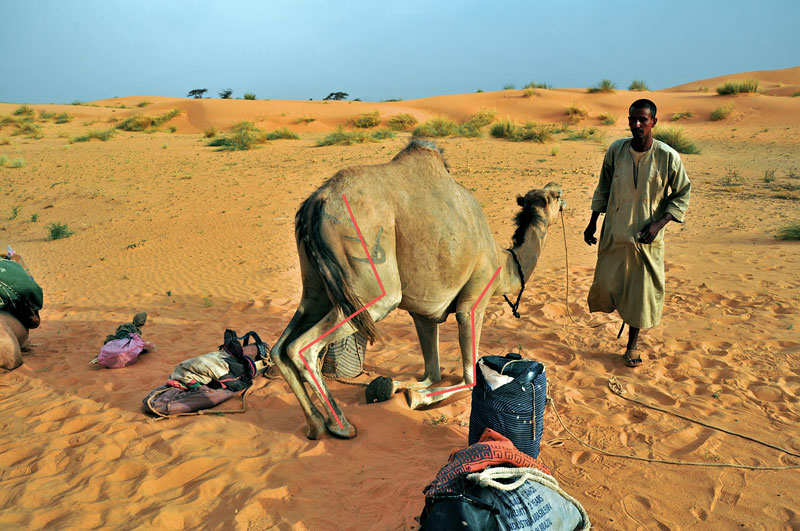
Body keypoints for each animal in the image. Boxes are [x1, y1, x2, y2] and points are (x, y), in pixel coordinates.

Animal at [272, 138, 564, 440]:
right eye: (555, 195)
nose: (561, 192)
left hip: (318, 289)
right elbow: (469, 379)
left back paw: (316, 424)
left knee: (279, 347)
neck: (503, 262)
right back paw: (341, 426)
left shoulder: (424, 313)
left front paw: (396, 386)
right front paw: (416, 397)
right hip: (372, 285)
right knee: (301, 347)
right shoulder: (474, 300)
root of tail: (314, 205)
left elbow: (431, 373)